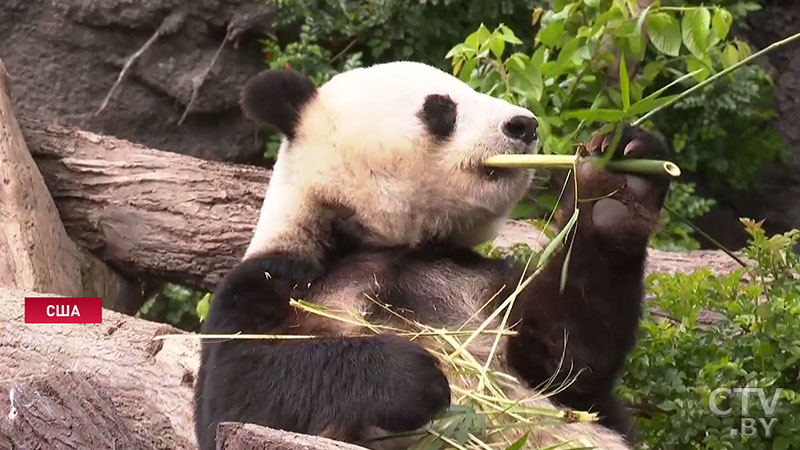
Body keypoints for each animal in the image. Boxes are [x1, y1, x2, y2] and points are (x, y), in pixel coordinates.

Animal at [195, 60, 668, 450]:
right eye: (441, 107)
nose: (524, 124)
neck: (389, 240)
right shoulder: (274, 281)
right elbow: (244, 390)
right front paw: (409, 378)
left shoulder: (481, 280)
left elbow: (567, 359)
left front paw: (615, 189)